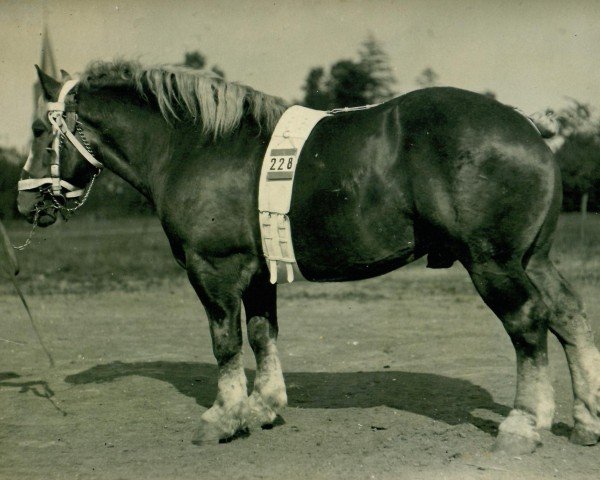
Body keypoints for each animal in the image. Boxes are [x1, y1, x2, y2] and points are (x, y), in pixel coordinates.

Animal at [17, 62, 600, 456]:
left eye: (39, 131)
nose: (24, 203)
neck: (196, 147)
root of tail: (529, 129)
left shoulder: (214, 271)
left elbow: (225, 343)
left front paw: (223, 416)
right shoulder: (257, 275)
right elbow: (261, 335)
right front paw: (264, 406)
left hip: (494, 264)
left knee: (528, 323)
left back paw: (524, 425)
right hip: (534, 258)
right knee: (570, 318)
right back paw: (586, 420)